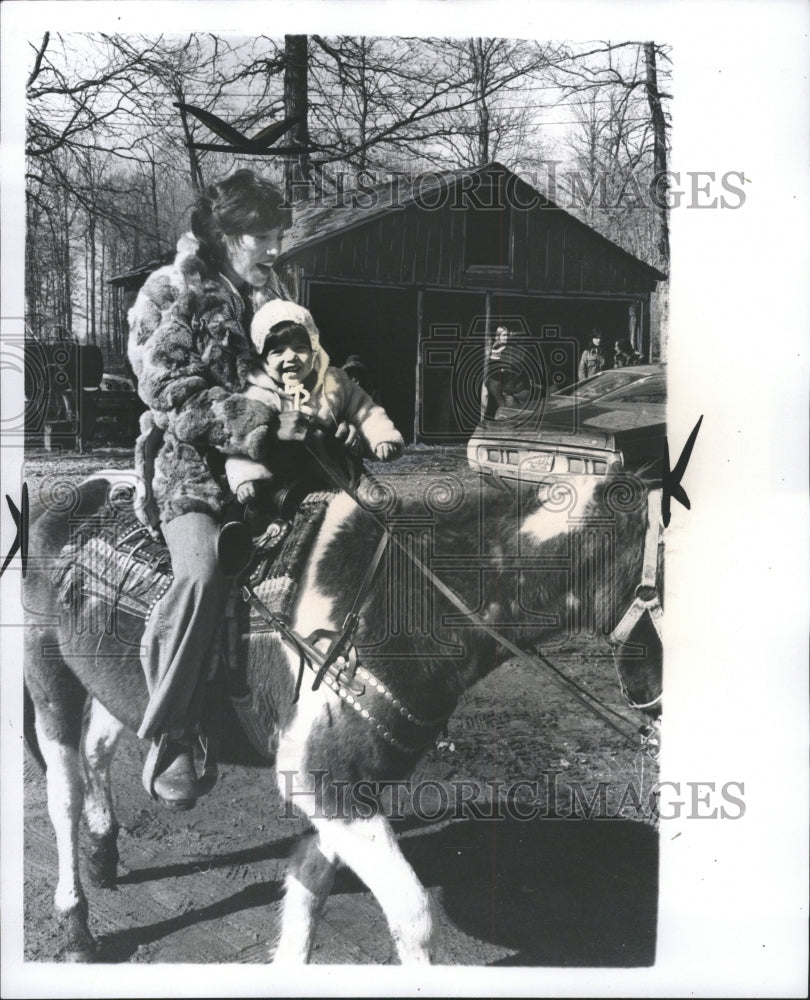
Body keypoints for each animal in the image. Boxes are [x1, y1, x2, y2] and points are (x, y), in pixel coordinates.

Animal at [22, 460, 660, 960]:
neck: (407, 602)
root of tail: (76, 491)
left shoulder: (345, 791)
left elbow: (308, 890)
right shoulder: (328, 781)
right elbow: (411, 914)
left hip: (114, 684)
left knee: (100, 751)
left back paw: (104, 854)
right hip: (47, 675)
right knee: (64, 792)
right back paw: (76, 928)